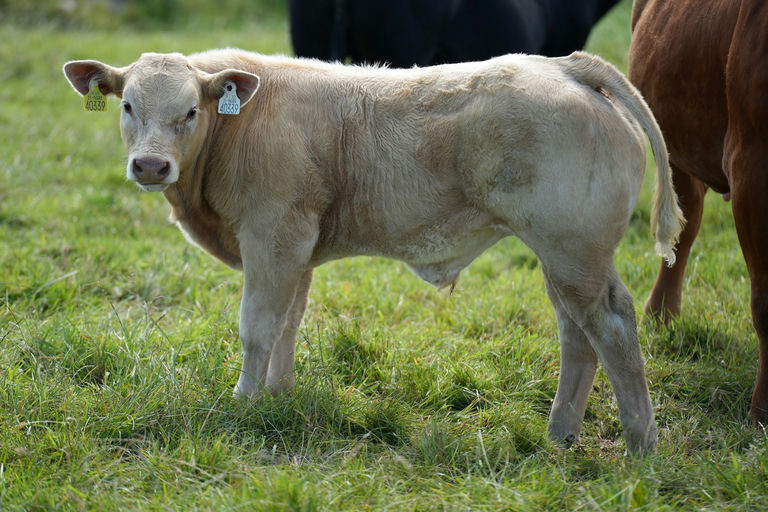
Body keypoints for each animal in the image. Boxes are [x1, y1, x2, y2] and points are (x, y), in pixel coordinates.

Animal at [63, 48, 683, 453]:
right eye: (128, 106)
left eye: (190, 110)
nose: (150, 165)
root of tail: (563, 65)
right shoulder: (296, 249)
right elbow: (288, 323)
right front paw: (278, 397)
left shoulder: (272, 238)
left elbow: (257, 327)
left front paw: (243, 402)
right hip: (562, 258)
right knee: (575, 333)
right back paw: (560, 434)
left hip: (573, 250)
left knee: (611, 327)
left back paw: (641, 442)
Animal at [629, 0, 768, 426]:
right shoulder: (751, 167)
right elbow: (765, 304)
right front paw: (762, 413)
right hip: (675, 150)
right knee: (681, 230)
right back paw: (660, 315)